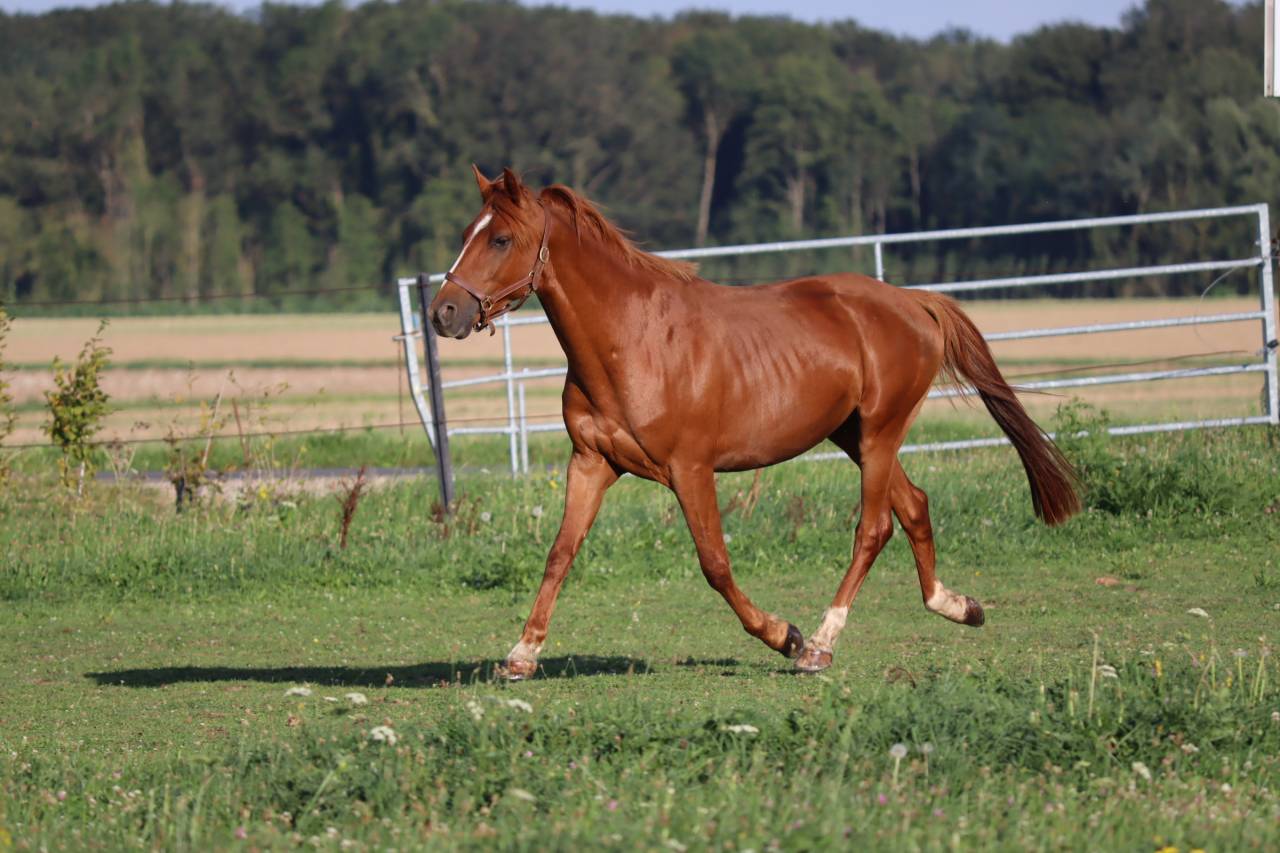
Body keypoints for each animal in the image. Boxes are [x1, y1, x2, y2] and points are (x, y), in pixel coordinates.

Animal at [430, 166, 1080, 678]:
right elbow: (560, 554)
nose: (443, 312)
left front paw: (783, 636)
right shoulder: (592, 462)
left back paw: (819, 645)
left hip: (879, 433)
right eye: (465, 236)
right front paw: (520, 656)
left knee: (874, 528)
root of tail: (913, 302)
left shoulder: (690, 469)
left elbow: (715, 565)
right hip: (855, 436)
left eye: (501, 239)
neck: (631, 341)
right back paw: (958, 606)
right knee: (915, 506)